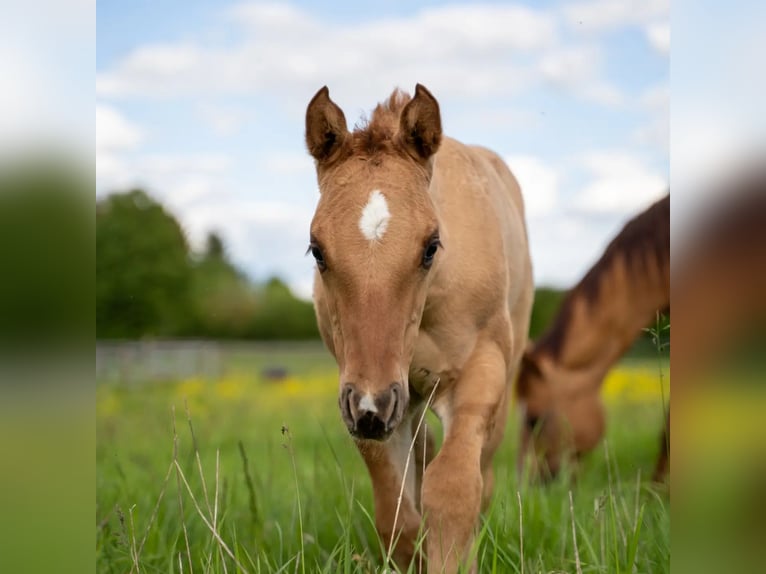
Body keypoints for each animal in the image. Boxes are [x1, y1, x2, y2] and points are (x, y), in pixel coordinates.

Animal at [305, 84, 533, 573]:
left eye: (431, 246)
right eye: (317, 249)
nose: (371, 405)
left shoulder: (478, 373)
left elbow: (453, 489)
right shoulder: (368, 397)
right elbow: (396, 511)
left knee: (482, 473)